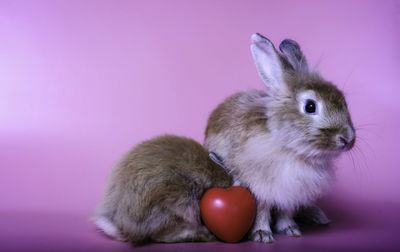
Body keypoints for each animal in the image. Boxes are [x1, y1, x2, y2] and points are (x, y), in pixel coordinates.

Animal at [205, 33, 354, 242]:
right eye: (310, 106)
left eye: (344, 101)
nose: (347, 139)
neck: (290, 149)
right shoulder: (260, 188)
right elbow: (261, 210)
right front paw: (262, 235)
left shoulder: (291, 194)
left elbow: (285, 212)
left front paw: (291, 229)